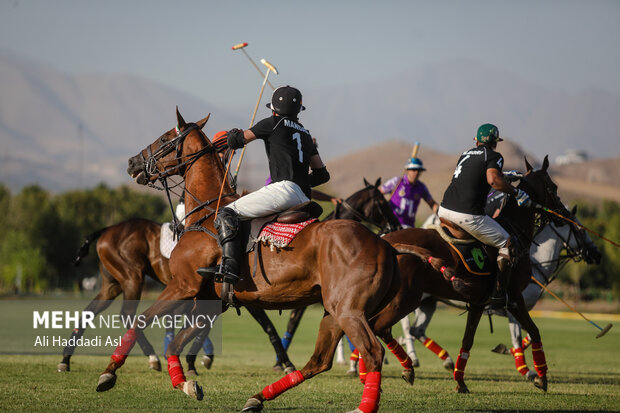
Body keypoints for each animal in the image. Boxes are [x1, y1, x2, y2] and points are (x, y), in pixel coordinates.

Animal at [97, 109, 398, 412]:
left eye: (164, 138)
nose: (132, 162)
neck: (207, 211)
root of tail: (384, 246)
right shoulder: (210, 301)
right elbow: (175, 343)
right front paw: (186, 383)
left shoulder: (183, 285)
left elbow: (142, 320)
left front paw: (108, 374)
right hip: (333, 310)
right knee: (320, 360)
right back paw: (257, 398)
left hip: (348, 309)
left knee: (372, 351)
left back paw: (362, 406)